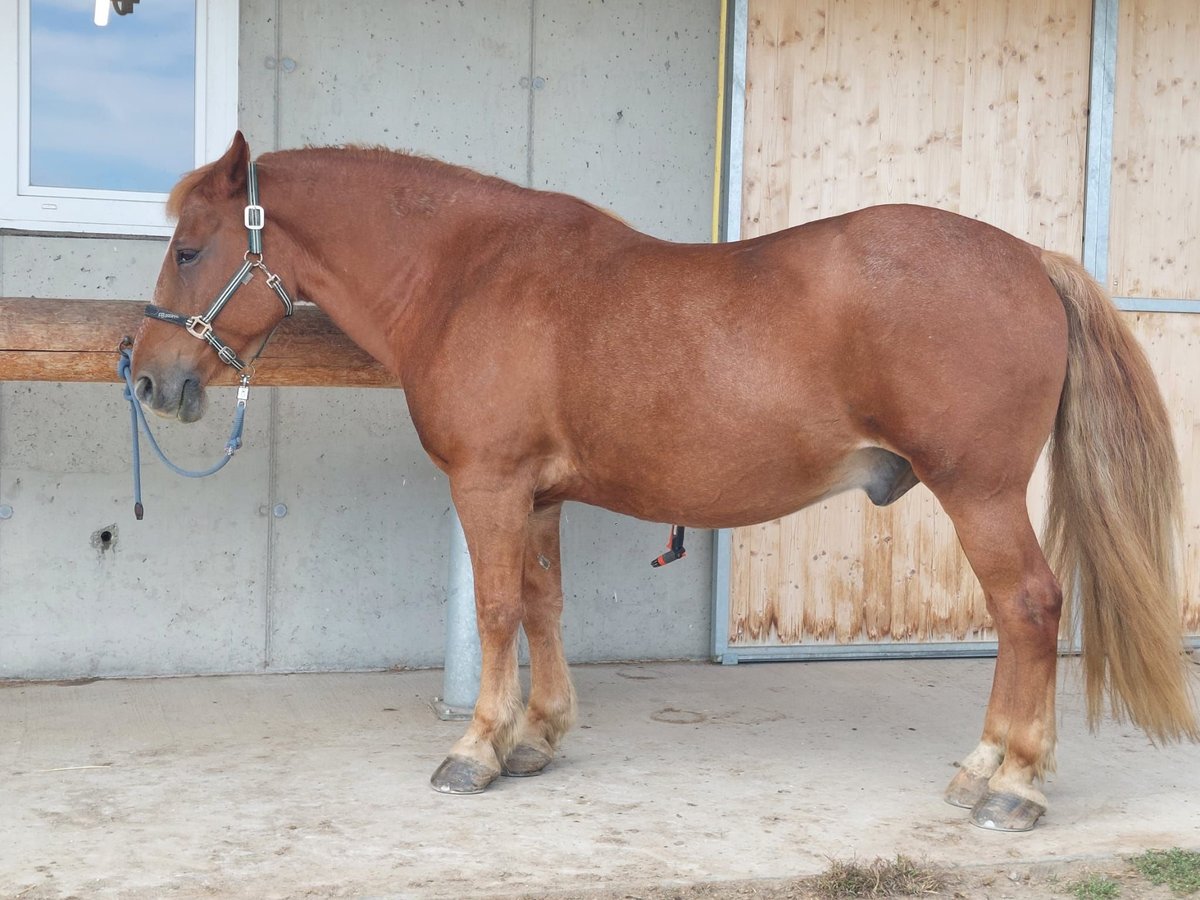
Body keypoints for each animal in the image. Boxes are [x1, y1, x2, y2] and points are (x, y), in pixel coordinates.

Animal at [126, 132, 1195, 830]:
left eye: (189, 248)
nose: (149, 376)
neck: (469, 274)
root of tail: (1031, 258)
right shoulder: (541, 496)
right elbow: (544, 606)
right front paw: (538, 738)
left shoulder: (489, 486)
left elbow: (498, 610)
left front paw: (475, 750)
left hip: (978, 492)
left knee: (1028, 608)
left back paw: (1007, 781)